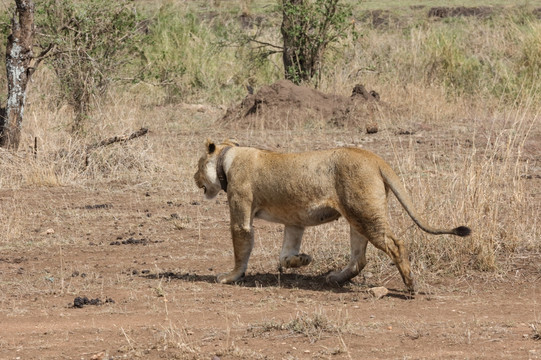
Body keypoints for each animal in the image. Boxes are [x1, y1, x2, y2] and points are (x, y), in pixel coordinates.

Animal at [194, 139, 468, 292]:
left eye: (197, 165)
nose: (194, 178)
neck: (228, 158)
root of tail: (374, 158)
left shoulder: (241, 211)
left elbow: (242, 246)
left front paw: (230, 277)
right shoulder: (294, 221)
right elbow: (285, 253)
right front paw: (301, 260)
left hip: (365, 214)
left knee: (396, 245)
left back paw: (410, 285)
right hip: (357, 216)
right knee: (359, 258)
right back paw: (335, 278)